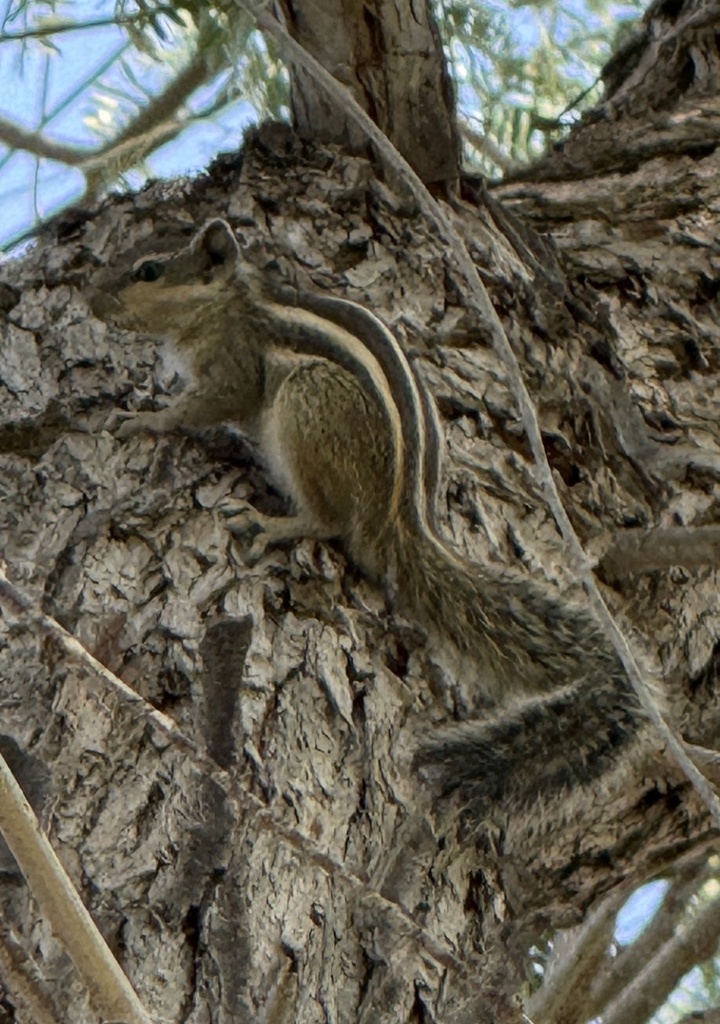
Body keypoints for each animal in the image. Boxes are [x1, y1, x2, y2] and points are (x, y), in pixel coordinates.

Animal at [90, 218, 639, 810]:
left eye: (149, 270)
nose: (91, 299)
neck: (227, 303)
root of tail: (399, 520)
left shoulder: (236, 365)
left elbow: (204, 406)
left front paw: (146, 419)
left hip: (308, 403)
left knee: (331, 521)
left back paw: (274, 524)